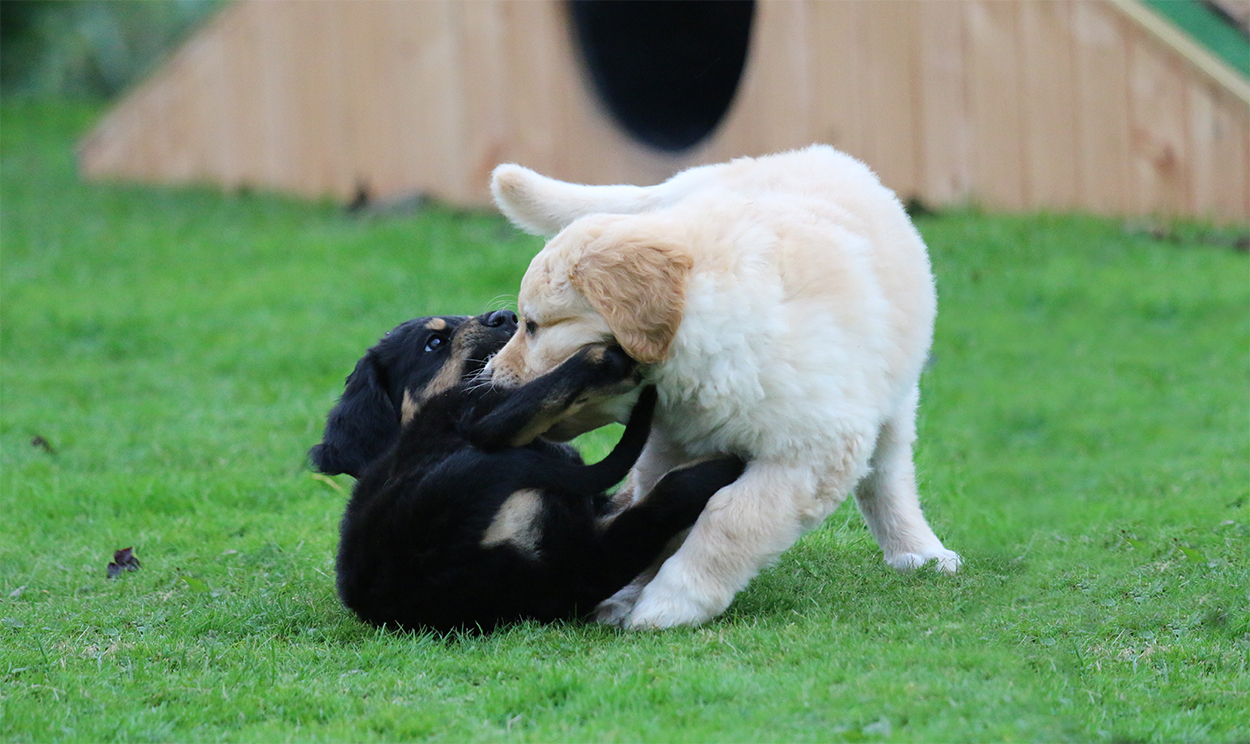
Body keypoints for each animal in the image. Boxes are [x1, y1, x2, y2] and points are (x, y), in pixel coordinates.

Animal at [484, 145, 962, 629]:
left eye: (532, 326)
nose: (490, 378)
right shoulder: (669, 446)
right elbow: (661, 512)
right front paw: (630, 595)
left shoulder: (809, 452)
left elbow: (731, 518)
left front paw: (670, 601)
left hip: (894, 399)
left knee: (887, 475)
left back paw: (917, 550)